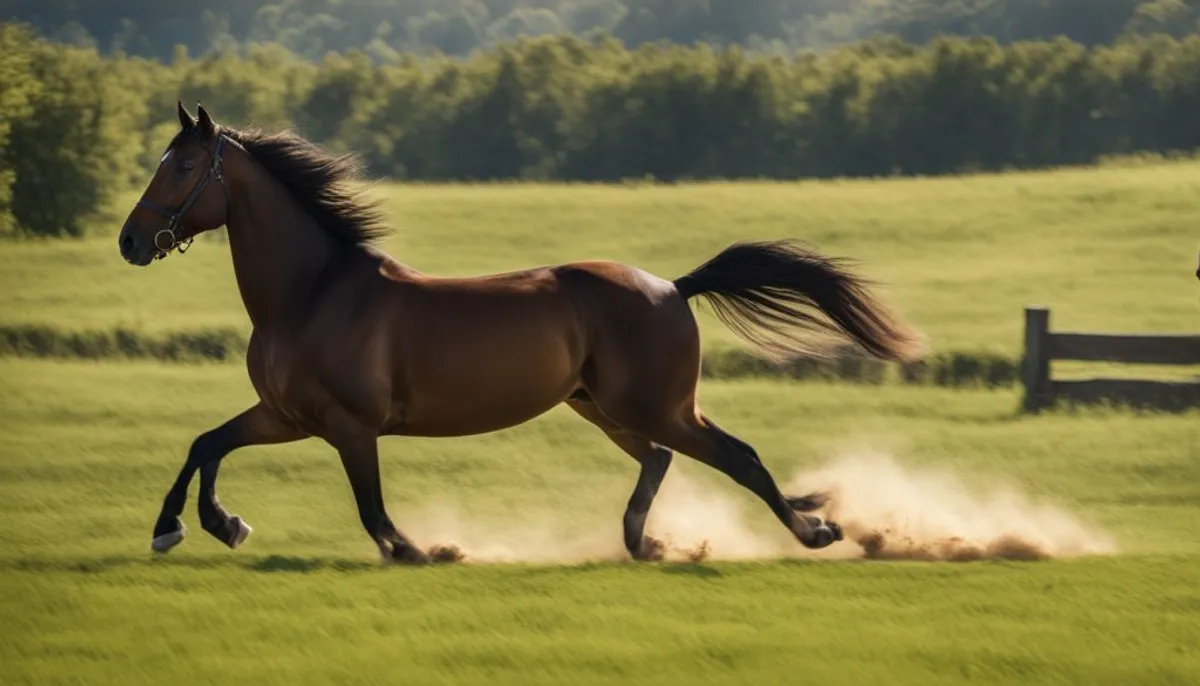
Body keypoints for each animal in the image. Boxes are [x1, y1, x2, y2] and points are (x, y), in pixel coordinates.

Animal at [117, 103, 921, 563]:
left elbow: (371, 508)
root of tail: (672, 287)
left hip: (653, 405)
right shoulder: (286, 416)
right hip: (601, 406)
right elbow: (206, 444)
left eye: (182, 165)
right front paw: (198, 526)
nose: (129, 241)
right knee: (662, 459)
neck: (310, 295)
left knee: (738, 457)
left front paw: (422, 550)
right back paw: (646, 542)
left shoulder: (348, 425)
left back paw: (817, 532)